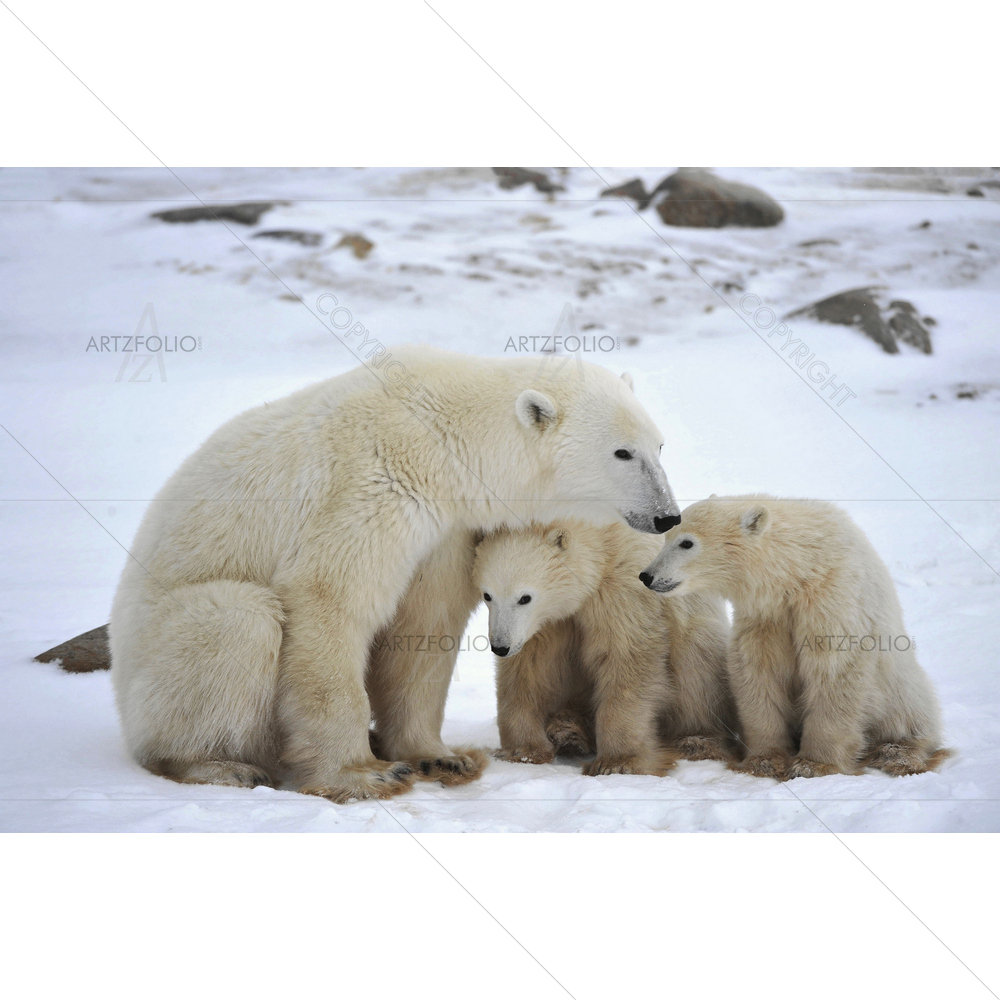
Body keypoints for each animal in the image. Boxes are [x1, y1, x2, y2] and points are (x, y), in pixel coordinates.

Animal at [109, 346, 681, 803]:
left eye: (660, 445)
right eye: (622, 451)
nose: (667, 516)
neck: (442, 436)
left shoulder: (446, 528)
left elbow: (424, 624)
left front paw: (440, 757)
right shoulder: (370, 485)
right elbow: (330, 600)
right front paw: (364, 775)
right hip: (156, 658)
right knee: (237, 620)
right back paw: (218, 764)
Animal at [472, 518, 737, 776]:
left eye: (524, 597)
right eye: (487, 595)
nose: (500, 647)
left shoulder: (622, 589)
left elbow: (625, 658)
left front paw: (618, 763)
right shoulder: (544, 624)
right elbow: (528, 669)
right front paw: (523, 750)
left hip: (697, 635)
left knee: (695, 672)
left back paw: (696, 742)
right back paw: (568, 730)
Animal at [639, 495, 951, 780]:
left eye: (687, 543)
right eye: (667, 538)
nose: (647, 575)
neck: (800, 569)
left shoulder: (832, 595)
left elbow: (834, 667)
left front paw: (813, 765)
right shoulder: (766, 615)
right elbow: (757, 670)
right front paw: (764, 761)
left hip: (900, 683)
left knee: (911, 714)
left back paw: (897, 753)